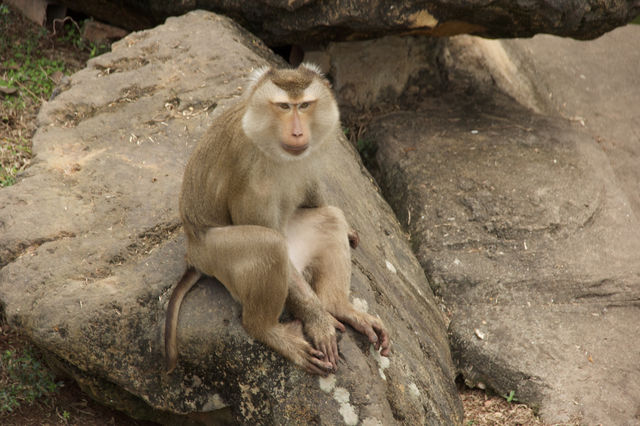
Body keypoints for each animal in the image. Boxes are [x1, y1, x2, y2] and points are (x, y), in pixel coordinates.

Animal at [164, 63, 390, 376]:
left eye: (304, 105)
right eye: (284, 106)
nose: (297, 132)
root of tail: (192, 254)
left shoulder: (309, 156)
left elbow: (312, 193)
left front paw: (348, 230)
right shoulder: (251, 177)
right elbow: (264, 234)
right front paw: (318, 323)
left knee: (329, 219)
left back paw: (338, 306)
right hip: (215, 256)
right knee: (269, 246)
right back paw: (268, 330)